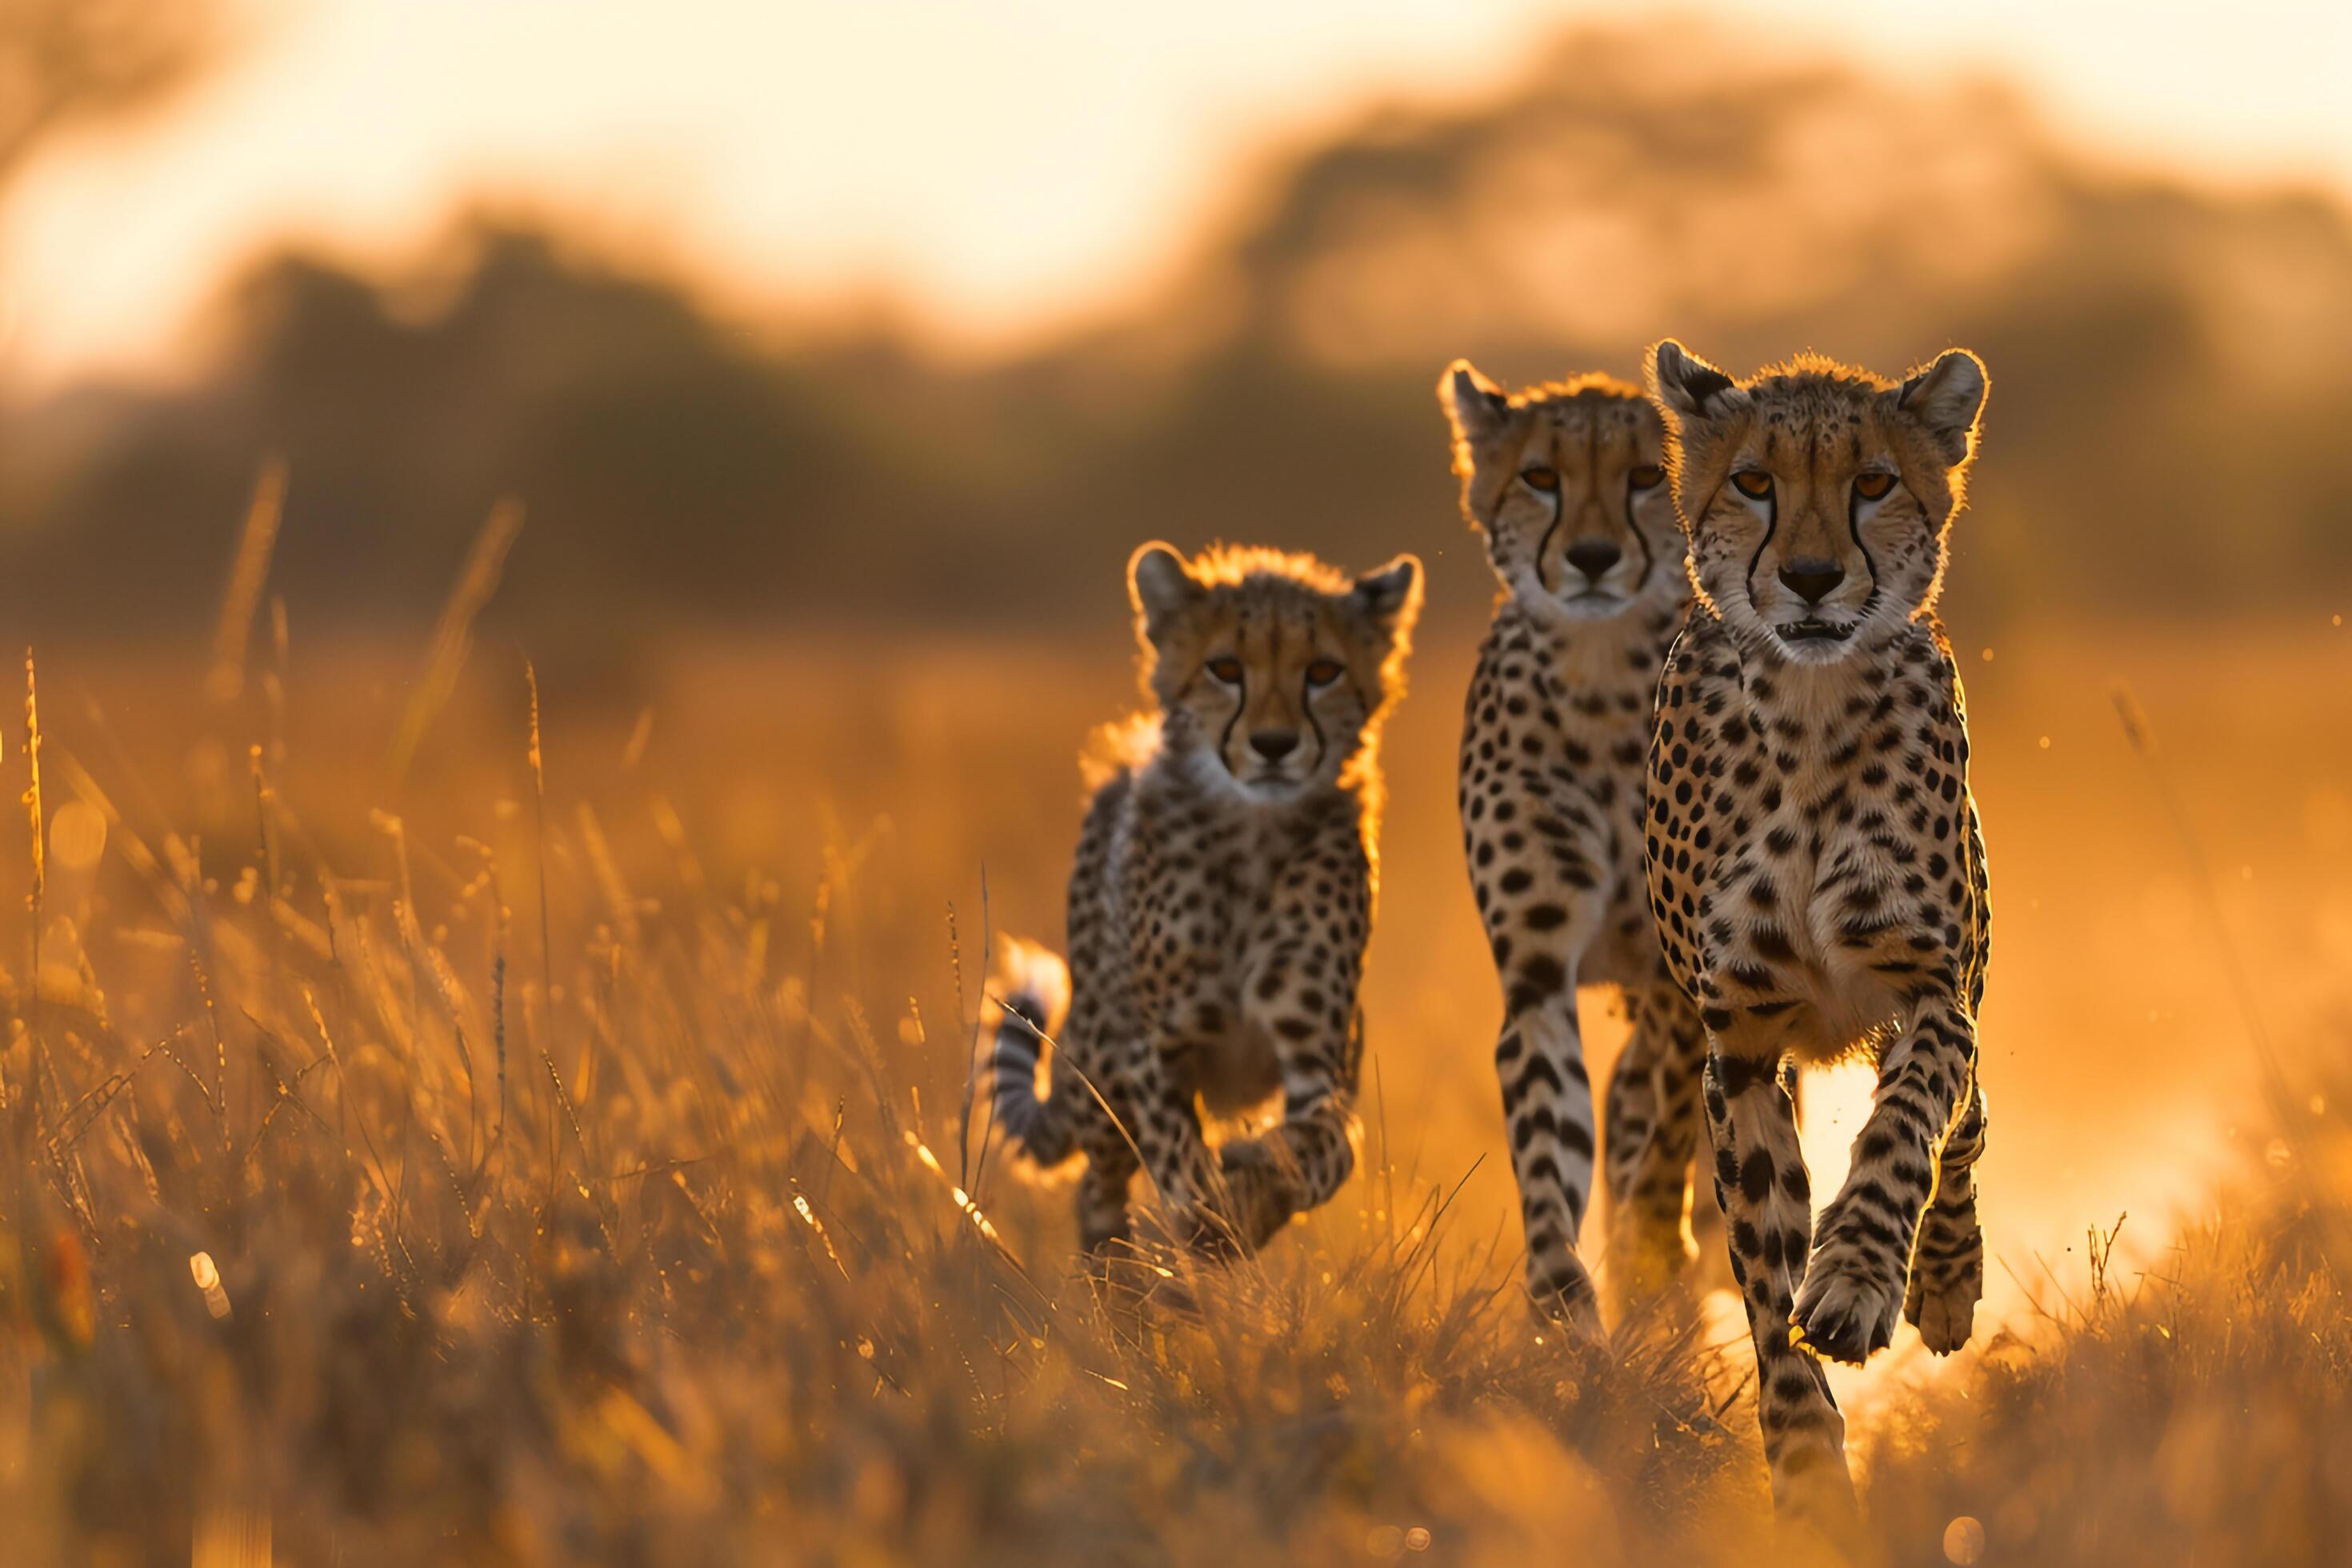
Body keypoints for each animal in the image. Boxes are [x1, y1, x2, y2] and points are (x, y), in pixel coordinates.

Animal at [982, 540, 1420, 1260]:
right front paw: (1212, 1218)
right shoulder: (1154, 1049)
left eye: (1323, 671)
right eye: (1225, 669)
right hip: (1101, 1071)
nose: (1274, 744)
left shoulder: (1321, 1054)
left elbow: (1328, 1147)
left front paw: (1257, 1191)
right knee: (1098, 1192)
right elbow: (1181, 1163)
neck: (1252, 832)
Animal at [1430, 362, 1712, 1335]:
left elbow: (1665, 1126)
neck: (1601, 668)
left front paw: (1653, 1247)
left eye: (1645, 477)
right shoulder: (1537, 972)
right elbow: (1550, 1140)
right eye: (1541, 477)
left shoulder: (1682, 977)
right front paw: (1560, 1296)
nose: (1591, 557)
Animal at [1646, 343, 1994, 1523]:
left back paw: (1946, 1278)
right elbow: (1761, 1260)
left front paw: (1856, 1283)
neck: (1809, 714)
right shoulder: (1742, 1046)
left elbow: (1904, 1133)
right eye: (1754, 482)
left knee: (1968, 1125)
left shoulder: (1931, 986)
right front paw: (1804, 1463)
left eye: (1873, 483)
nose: (1807, 577)